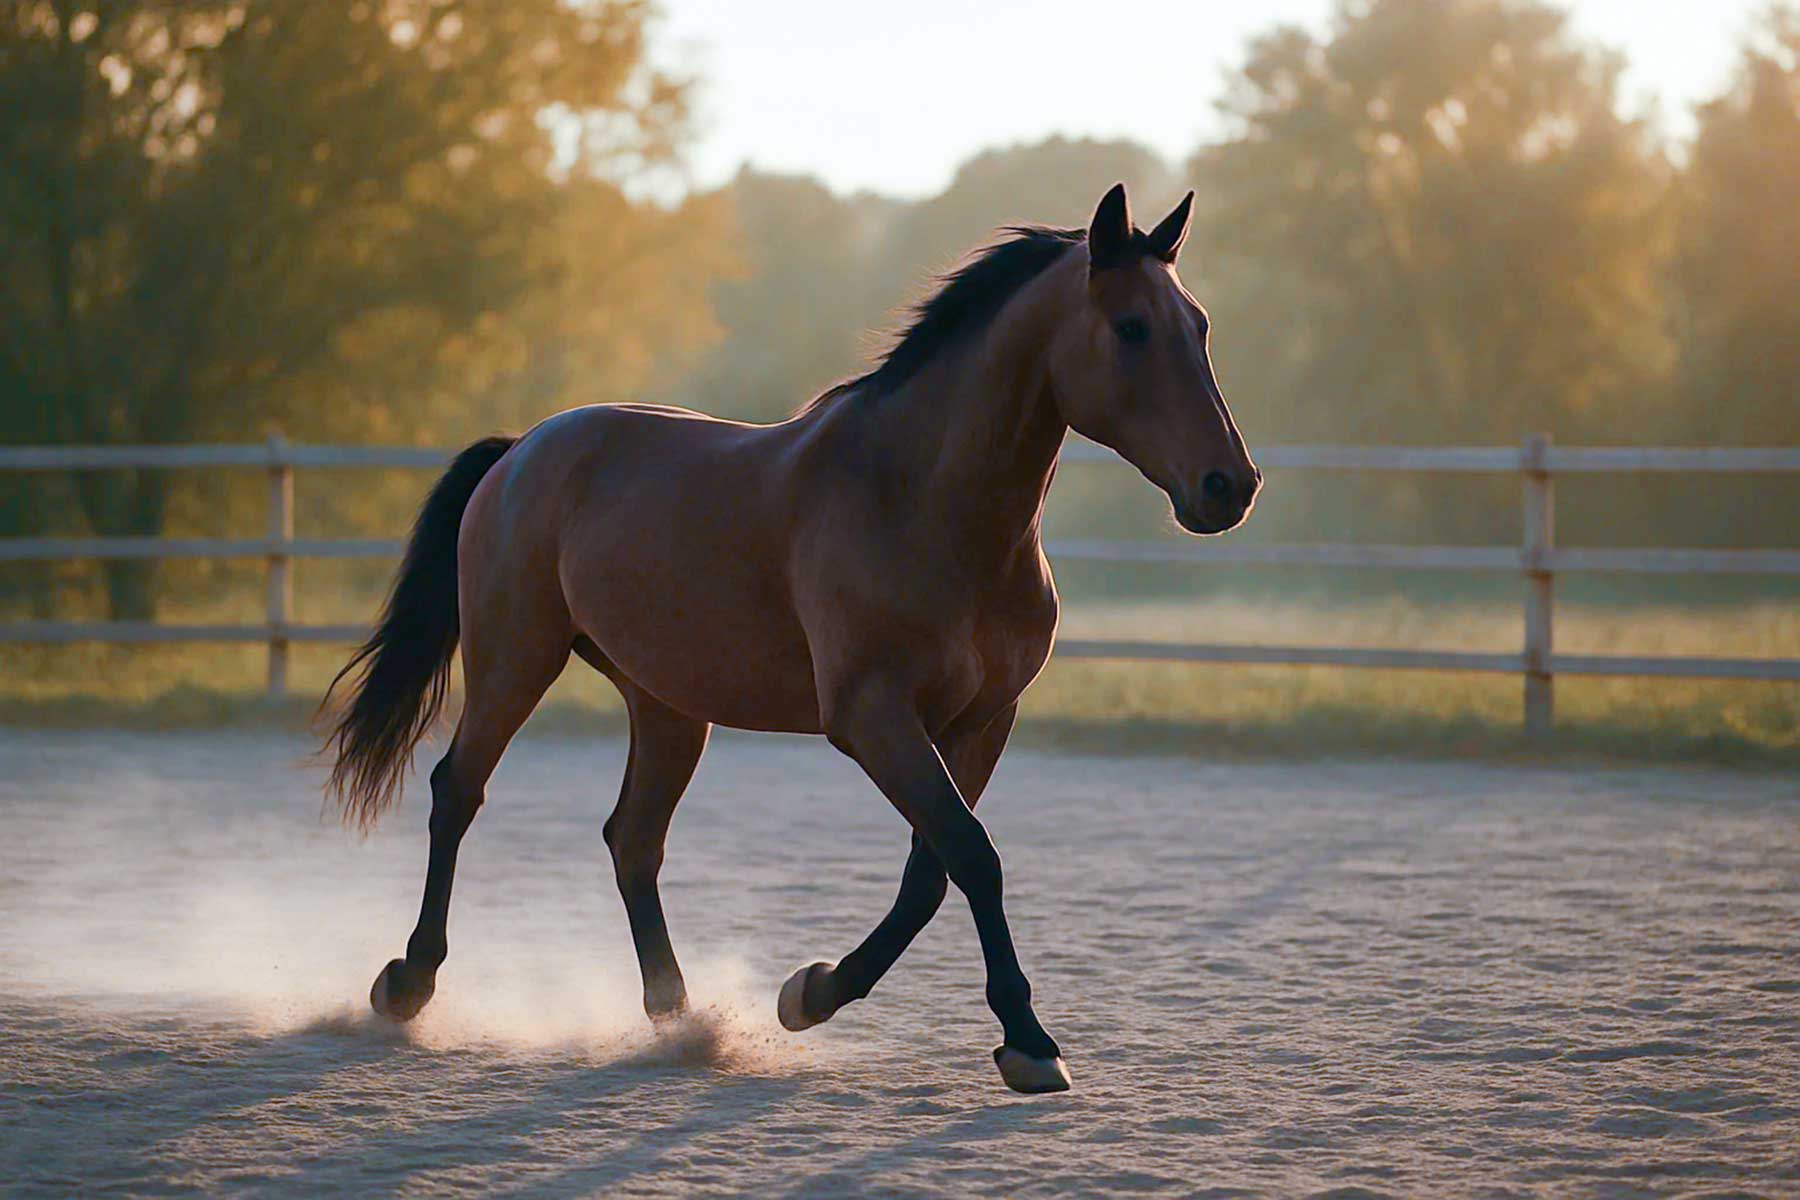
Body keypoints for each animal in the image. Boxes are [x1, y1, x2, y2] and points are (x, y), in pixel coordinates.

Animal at [321, 183, 1260, 1094]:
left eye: (1201, 325)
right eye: (1132, 327)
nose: (1230, 485)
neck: (922, 500)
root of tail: (522, 449)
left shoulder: (982, 722)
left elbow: (932, 872)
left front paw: (811, 993)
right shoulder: (873, 718)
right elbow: (973, 856)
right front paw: (1027, 1041)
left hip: (666, 705)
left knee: (633, 840)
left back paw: (679, 1017)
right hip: (515, 659)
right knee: (459, 792)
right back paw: (408, 983)